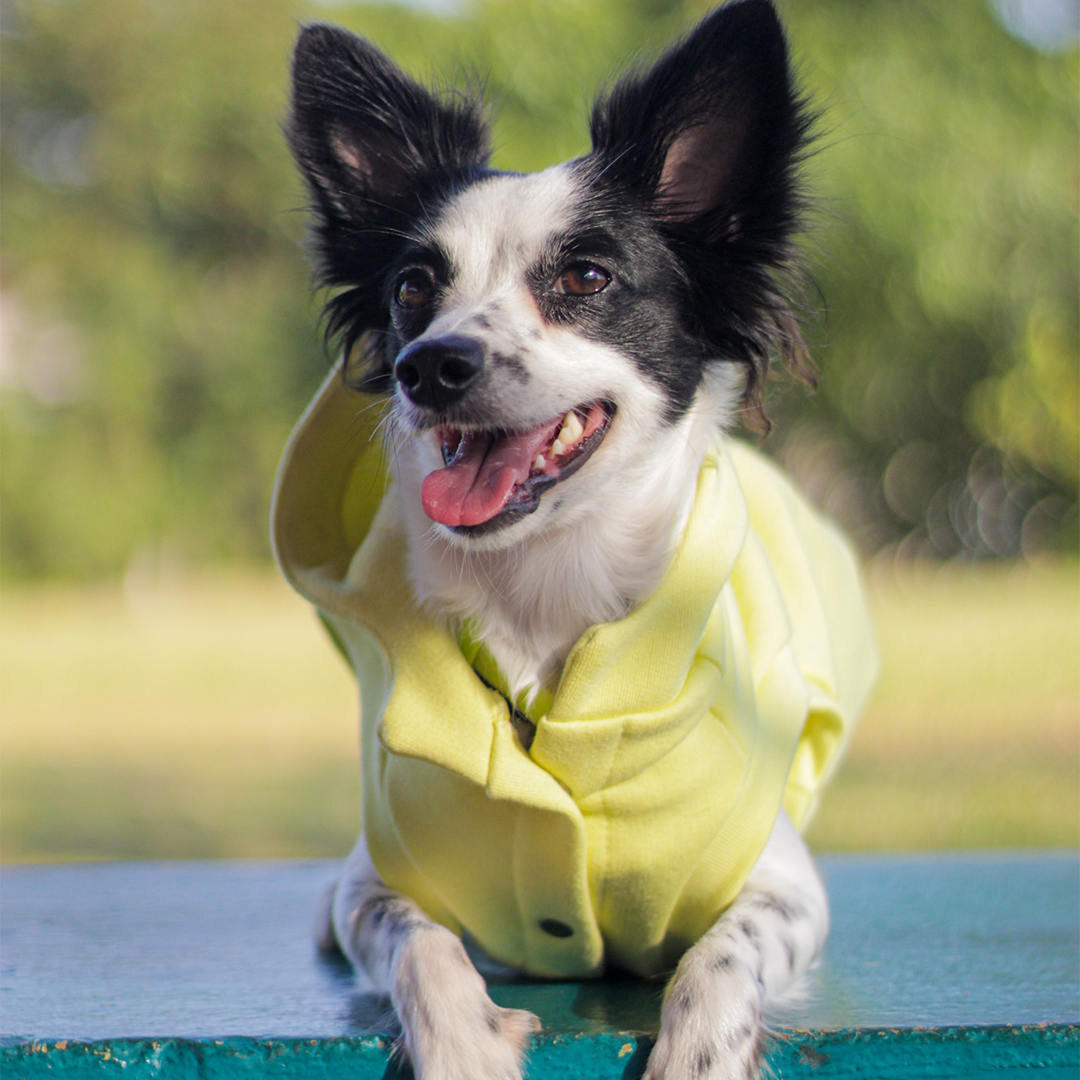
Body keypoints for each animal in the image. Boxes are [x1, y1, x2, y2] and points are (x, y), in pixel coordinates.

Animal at [272, 4, 876, 1075]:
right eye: (413, 286)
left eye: (586, 276)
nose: (431, 366)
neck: (543, 590)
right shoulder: (373, 885)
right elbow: (418, 940)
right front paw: (462, 1043)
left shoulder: (784, 884)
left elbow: (725, 952)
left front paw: (701, 1052)